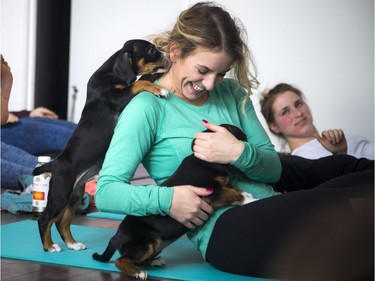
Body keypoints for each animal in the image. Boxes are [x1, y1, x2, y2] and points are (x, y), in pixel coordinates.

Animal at [32, 39, 170, 252]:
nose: (168, 56)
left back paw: (73, 244)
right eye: (150, 50)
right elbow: (138, 83)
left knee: (62, 222)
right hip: (60, 194)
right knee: (45, 219)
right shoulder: (117, 98)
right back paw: (50, 247)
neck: (111, 72)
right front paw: (159, 89)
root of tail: (55, 163)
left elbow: (141, 78)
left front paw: (155, 76)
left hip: (74, 196)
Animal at [93, 123, 258, 278]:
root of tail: (116, 236)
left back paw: (154, 261)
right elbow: (233, 193)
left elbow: (236, 189)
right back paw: (137, 273)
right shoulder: (212, 193)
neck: (206, 160)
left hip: (154, 244)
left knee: (136, 260)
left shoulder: (222, 185)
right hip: (146, 242)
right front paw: (247, 200)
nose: (247, 140)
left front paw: (250, 196)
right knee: (121, 260)